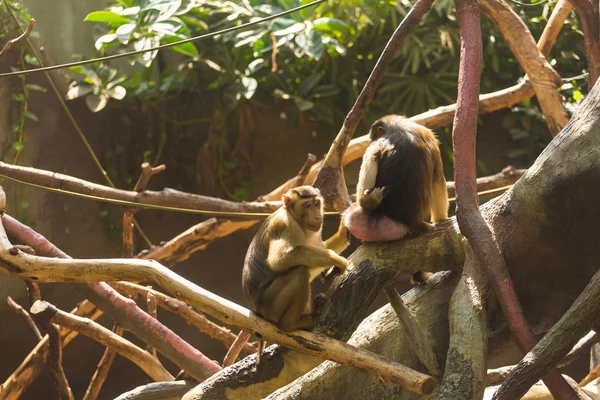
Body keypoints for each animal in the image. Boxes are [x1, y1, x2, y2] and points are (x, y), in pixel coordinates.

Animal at [224, 184, 346, 366]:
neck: (294, 217)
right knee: (300, 272)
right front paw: (335, 258)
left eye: (316, 203)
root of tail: (256, 310)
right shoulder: (285, 225)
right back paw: (292, 324)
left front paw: (344, 232)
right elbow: (280, 260)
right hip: (270, 305)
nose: (317, 216)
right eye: (307, 205)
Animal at [340, 115, 448, 282]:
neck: (400, 129)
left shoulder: (375, 146)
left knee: (353, 213)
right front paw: (441, 221)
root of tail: (412, 224)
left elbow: (362, 198)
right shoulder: (430, 137)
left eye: (373, 137)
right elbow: (438, 181)